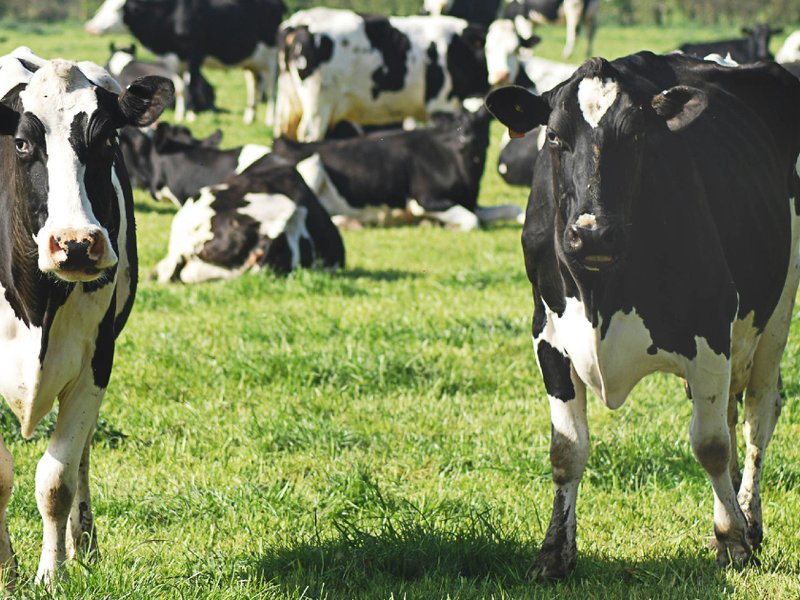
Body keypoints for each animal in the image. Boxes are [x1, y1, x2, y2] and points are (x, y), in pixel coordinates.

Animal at [0, 47, 172, 586]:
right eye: (21, 143)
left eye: (110, 140)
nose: (76, 243)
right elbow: (2, 472)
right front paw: (6, 570)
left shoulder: (96, 363)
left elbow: (55, 480)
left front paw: (51, 574)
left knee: (82, 457)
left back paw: (86, 547)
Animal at [85, 0, 285, 124]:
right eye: (102, 7)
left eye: (118, 9)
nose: (91, 28)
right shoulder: (175, 60)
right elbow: (181, 88)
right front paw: (180, 115)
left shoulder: (195, 54)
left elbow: (192, 84)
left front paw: (190, 115)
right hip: (252, 62)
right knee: (255, 87)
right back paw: (250, 117)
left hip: (271, 56)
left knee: (272, 88)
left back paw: (271, 119)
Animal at [272, 107, 523, 230]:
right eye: (455, 123)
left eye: (482, 121)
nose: (466, 140)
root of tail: (287, 142)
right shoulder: (425, 200)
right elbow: (472, 221)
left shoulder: (471, 202)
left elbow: (513, 209)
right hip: (311, 166)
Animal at [485, 51, 800, 578]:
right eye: (554, 137)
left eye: (636, 137)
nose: (592, 233)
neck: (600, 295)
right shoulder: (547, 334)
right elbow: (566, 450)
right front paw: (554, 553)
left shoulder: (711, 327)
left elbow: (710, 445)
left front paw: (734, 542)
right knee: (732, 414)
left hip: (776, 314)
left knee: (758, 416)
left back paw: (749, 522)